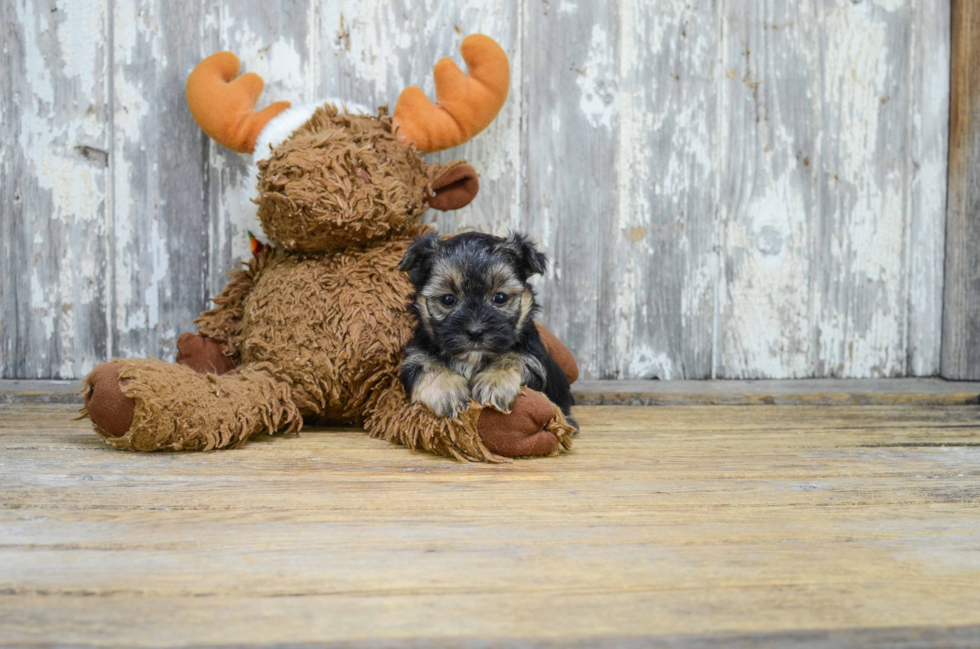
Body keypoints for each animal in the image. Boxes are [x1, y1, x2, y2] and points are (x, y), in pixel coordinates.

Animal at [396, 230, 576, 428]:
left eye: (500, 297)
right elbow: (427, 365)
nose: (475, 332)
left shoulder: (533, 356)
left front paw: (493, 383)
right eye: (447, 299)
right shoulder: (416, 355)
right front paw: (447, 391)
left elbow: (514, 357)